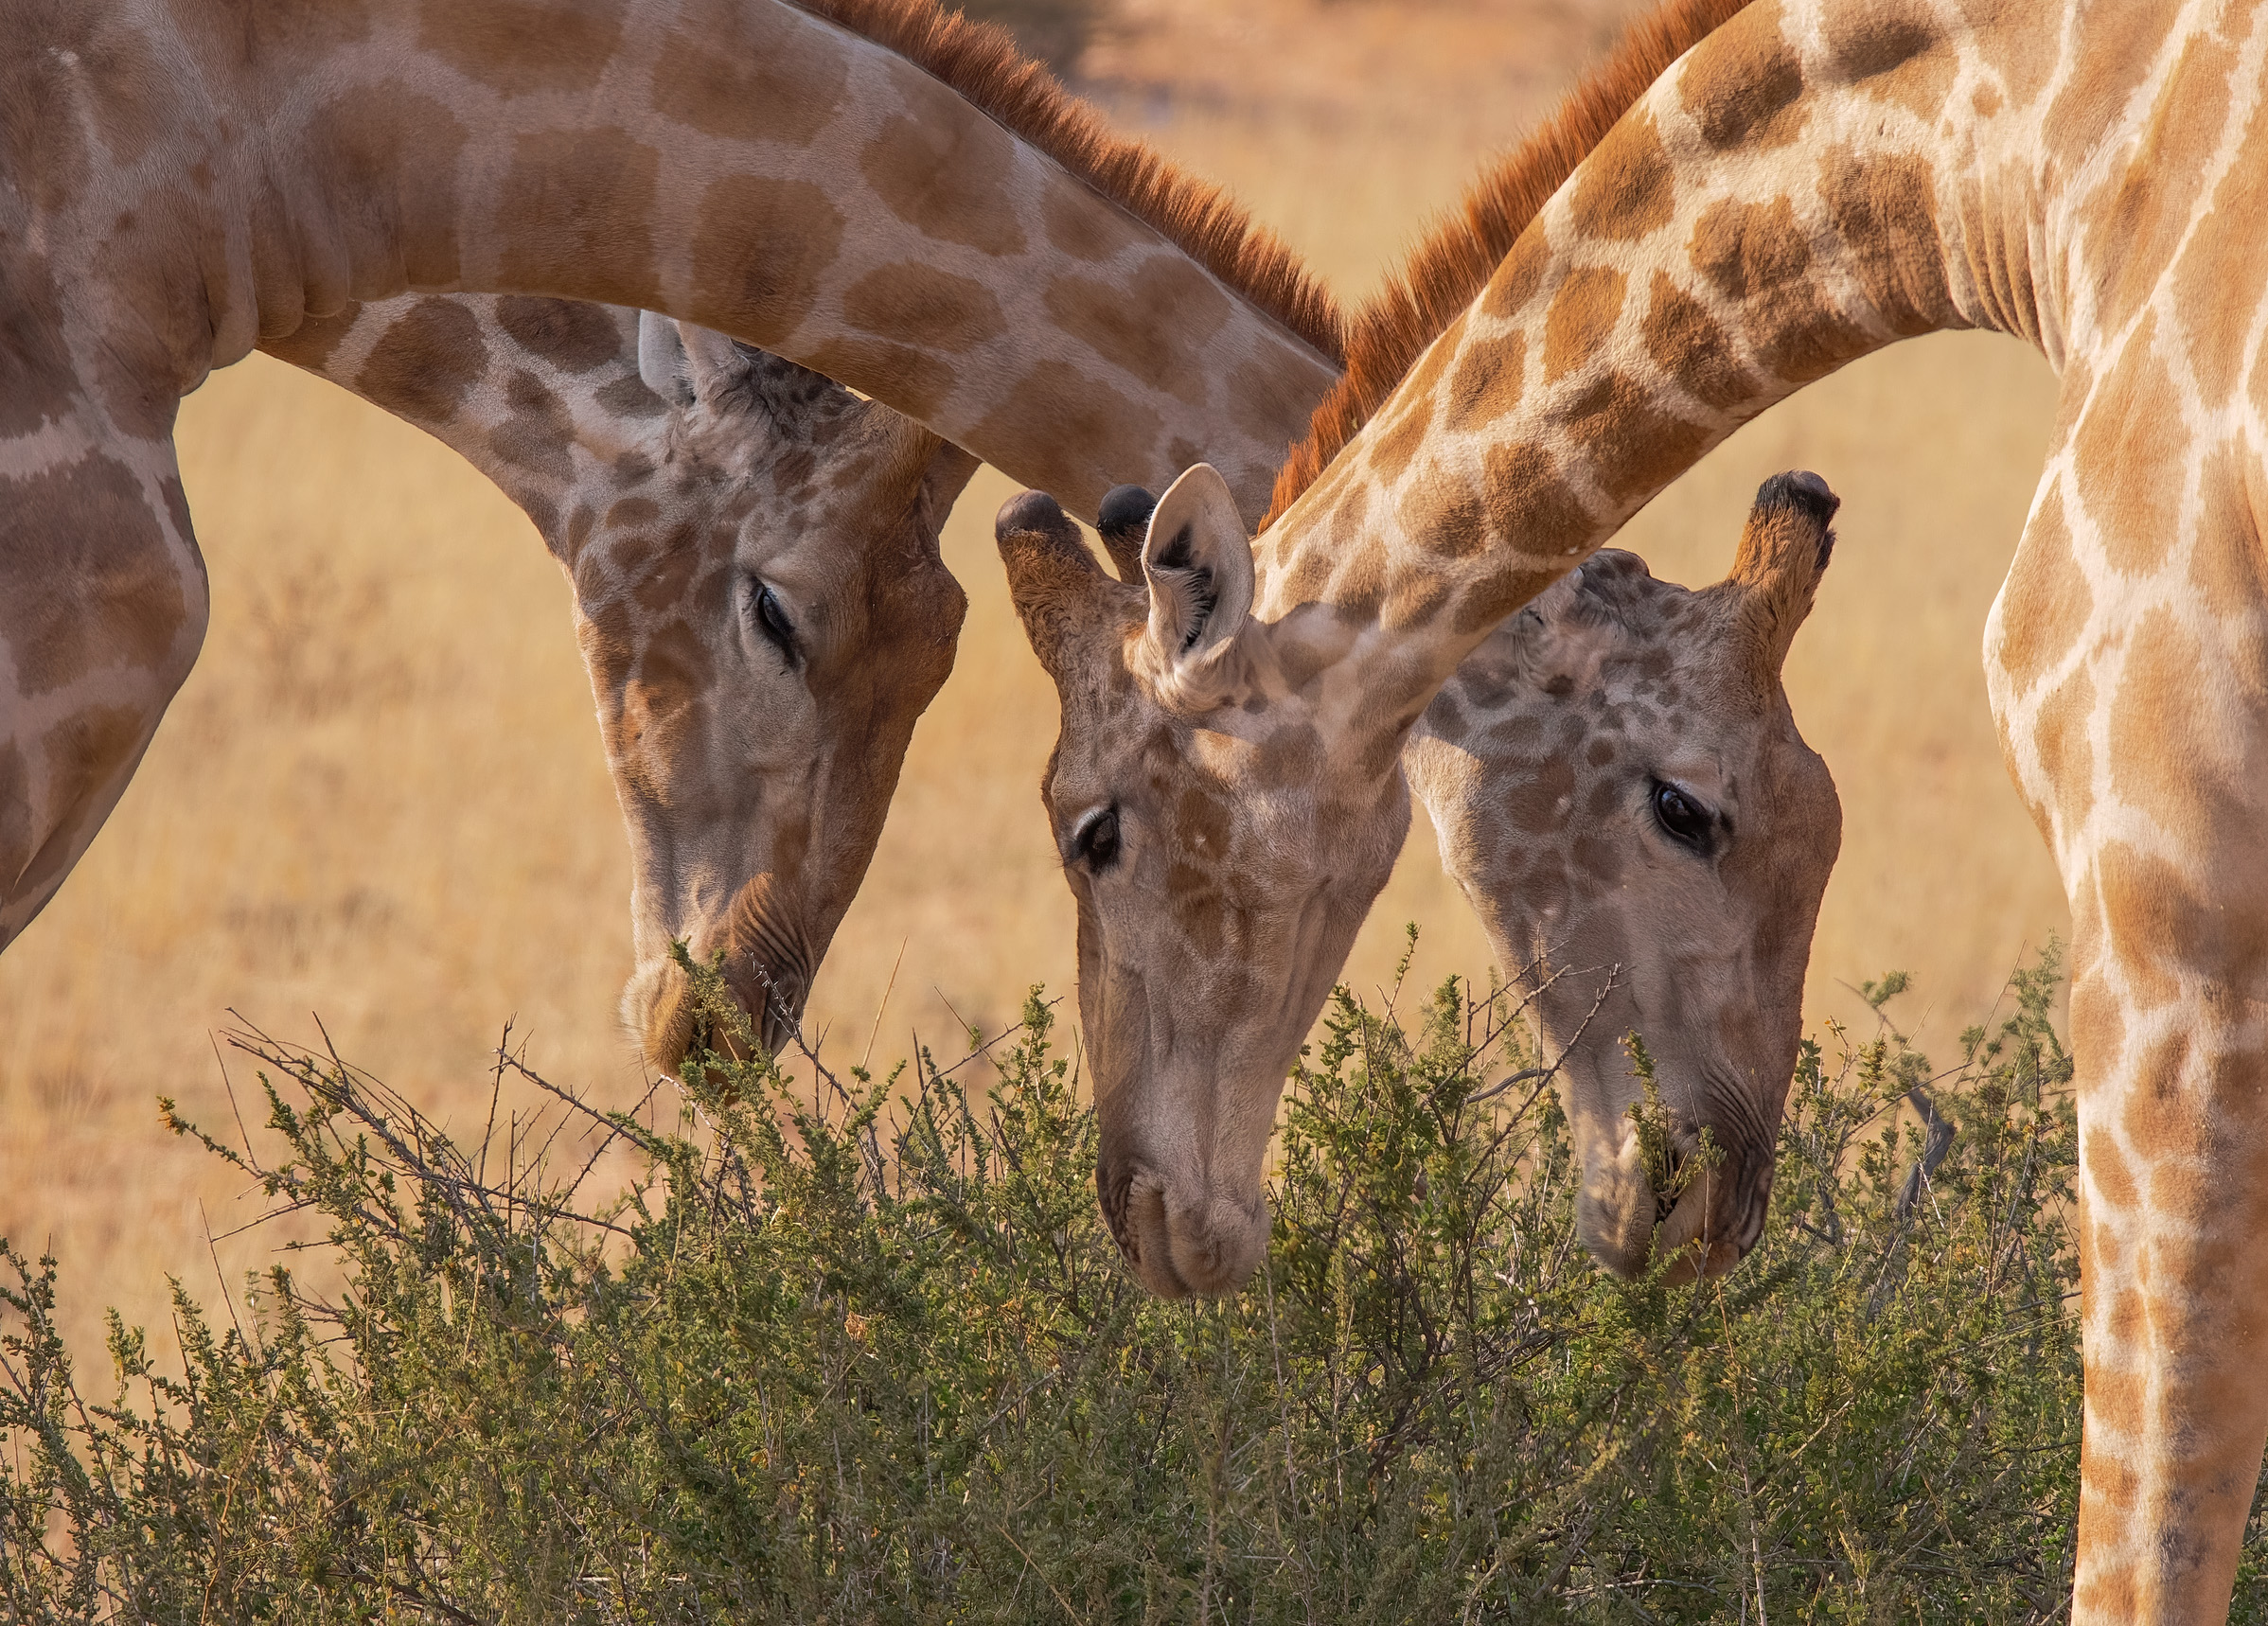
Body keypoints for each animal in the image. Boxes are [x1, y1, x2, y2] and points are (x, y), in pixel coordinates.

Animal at [993, 0, 2268, 1615]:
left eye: (1091, 830)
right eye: (1759, 813)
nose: (1159, 1222)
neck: (2048, 173)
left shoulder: (2168, 884)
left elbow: (2153, 1493)